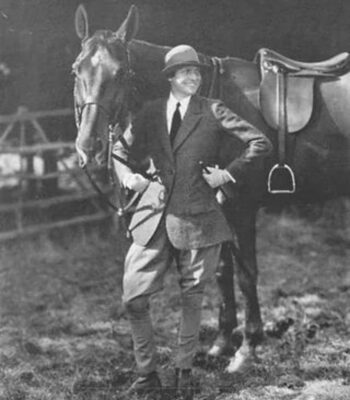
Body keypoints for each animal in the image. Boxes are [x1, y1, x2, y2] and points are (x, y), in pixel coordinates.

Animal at [72, 3, 350, 374]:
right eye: (76, 69)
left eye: (121, 73)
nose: (89, 146)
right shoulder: (218, 208)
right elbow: (222, 272)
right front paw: (221, 343)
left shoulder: (241, 207)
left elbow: (246, 275)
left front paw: (247, 349)